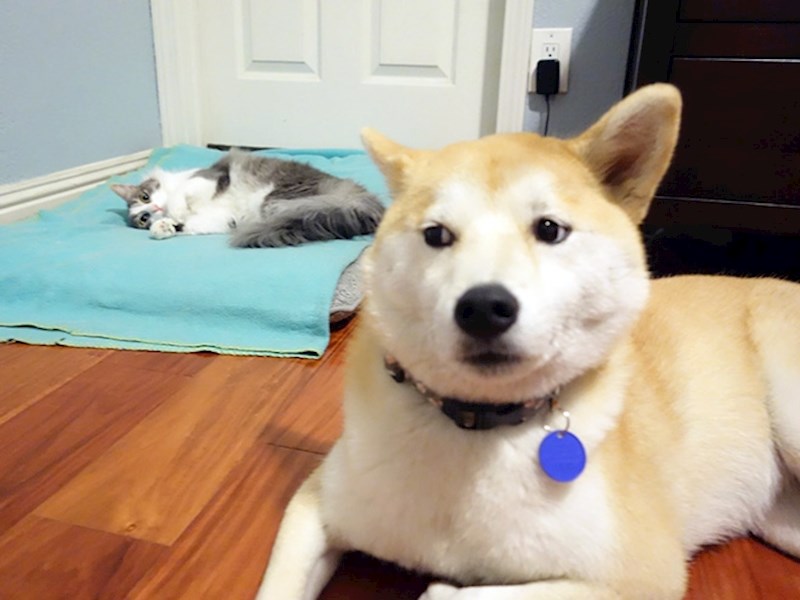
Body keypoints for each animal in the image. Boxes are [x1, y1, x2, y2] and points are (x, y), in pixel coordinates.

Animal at [110, 150, 385, 247]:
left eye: (145, 196)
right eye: (143, 218)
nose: (155, 208)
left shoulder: (210, 177)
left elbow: (183, 193)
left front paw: (173, 214)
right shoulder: (222, 218)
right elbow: (189, 226)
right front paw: (164, 227)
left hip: (274, 201)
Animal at [256, 84, 800, 599]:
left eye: (549, 229)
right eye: (436, 235)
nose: (483, 308)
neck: (477, 426)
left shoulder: (644, 574)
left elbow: (459, 594)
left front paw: (444, 588)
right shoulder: (316, 506)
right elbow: (278, 584)